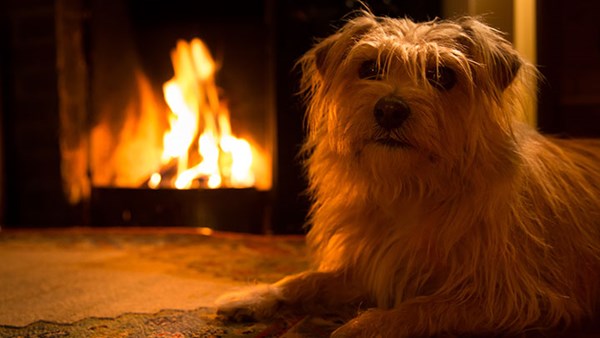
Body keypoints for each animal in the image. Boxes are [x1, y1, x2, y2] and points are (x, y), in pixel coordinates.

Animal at [216, 9, 600, 336]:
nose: (389, 110)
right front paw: (257, 295)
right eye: (370, 68)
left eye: (442, 75)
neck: (411, 186)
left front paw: (362, 326)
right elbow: (307, 279)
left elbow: (420, 307)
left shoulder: (511, 297)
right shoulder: (374, 267)